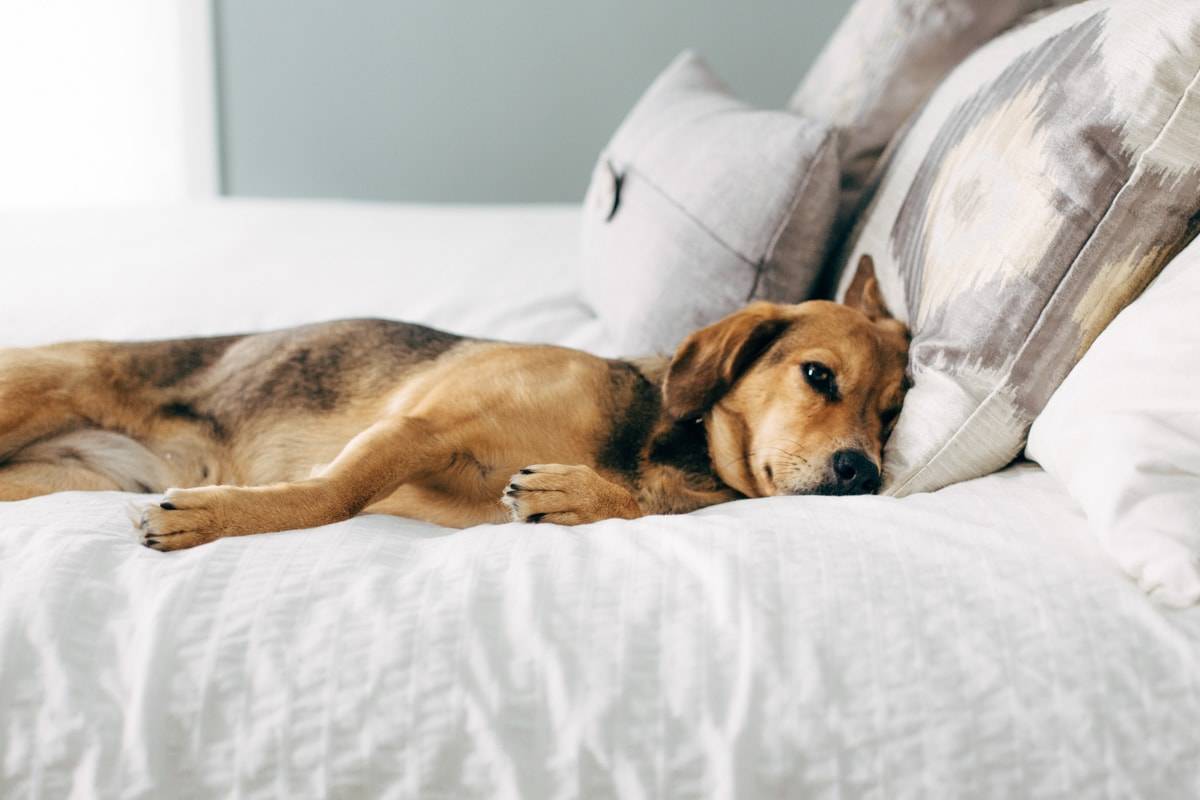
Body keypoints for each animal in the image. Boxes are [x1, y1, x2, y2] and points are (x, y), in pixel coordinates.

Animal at [0, 256, 902, 551]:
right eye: (819, 376)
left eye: (893, 411)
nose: (864, 474)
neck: (652, 445)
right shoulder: (421, 426)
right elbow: (331, 496)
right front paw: (212, 516)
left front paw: (577, 495)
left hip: (47, 480)